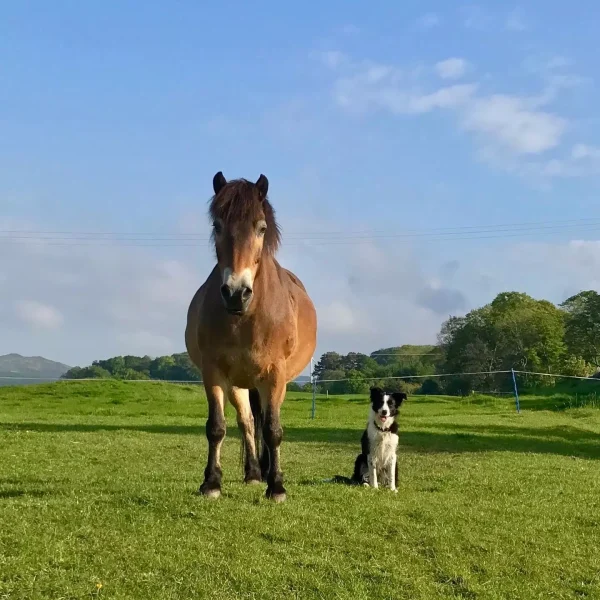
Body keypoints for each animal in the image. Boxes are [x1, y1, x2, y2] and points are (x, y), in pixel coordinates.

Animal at [186, 170, 318, 502]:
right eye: (217, 225)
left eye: (261, 228)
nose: (236, 293)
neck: (245, 319)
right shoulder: (214, 372)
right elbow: (217, 427)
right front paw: (211, 482)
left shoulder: (275, 374)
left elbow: (273, 429)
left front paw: (277, 486)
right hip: (240, 384)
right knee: (246, 422)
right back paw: (255, 473)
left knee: (266, 421)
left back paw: (268, 472)